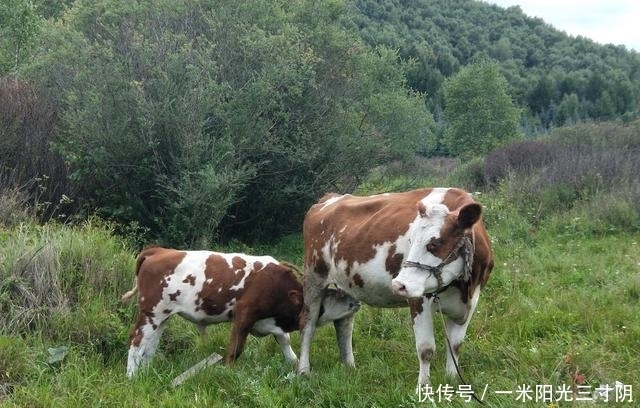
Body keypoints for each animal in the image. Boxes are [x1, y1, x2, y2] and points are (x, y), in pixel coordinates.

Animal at [122, 244, 358, 378]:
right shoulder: (244, 314)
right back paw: (132, 376)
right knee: (137, 340)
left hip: (162, 315)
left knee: (150, 345)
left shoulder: (271, 322)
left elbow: (284, 339)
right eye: (334, 296)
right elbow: (235, 348)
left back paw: (146, 371)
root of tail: (159, 250)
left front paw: (294, 362)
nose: (355, 302)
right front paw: (226, 371)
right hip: (152, 311)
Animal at [300, 188, 496, 386]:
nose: (398, 284)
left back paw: (349, 366)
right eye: (411, 240)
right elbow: (426, 349)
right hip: (314, 278)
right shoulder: (419, 299)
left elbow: (455, 346)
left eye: (434, 244)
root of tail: (330, 197)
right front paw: (423, 387)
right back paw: (303, 371)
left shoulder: (471, 302)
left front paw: (452, 380)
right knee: (308, 325)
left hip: (347, 285)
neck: (464, 286)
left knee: (344, 324)